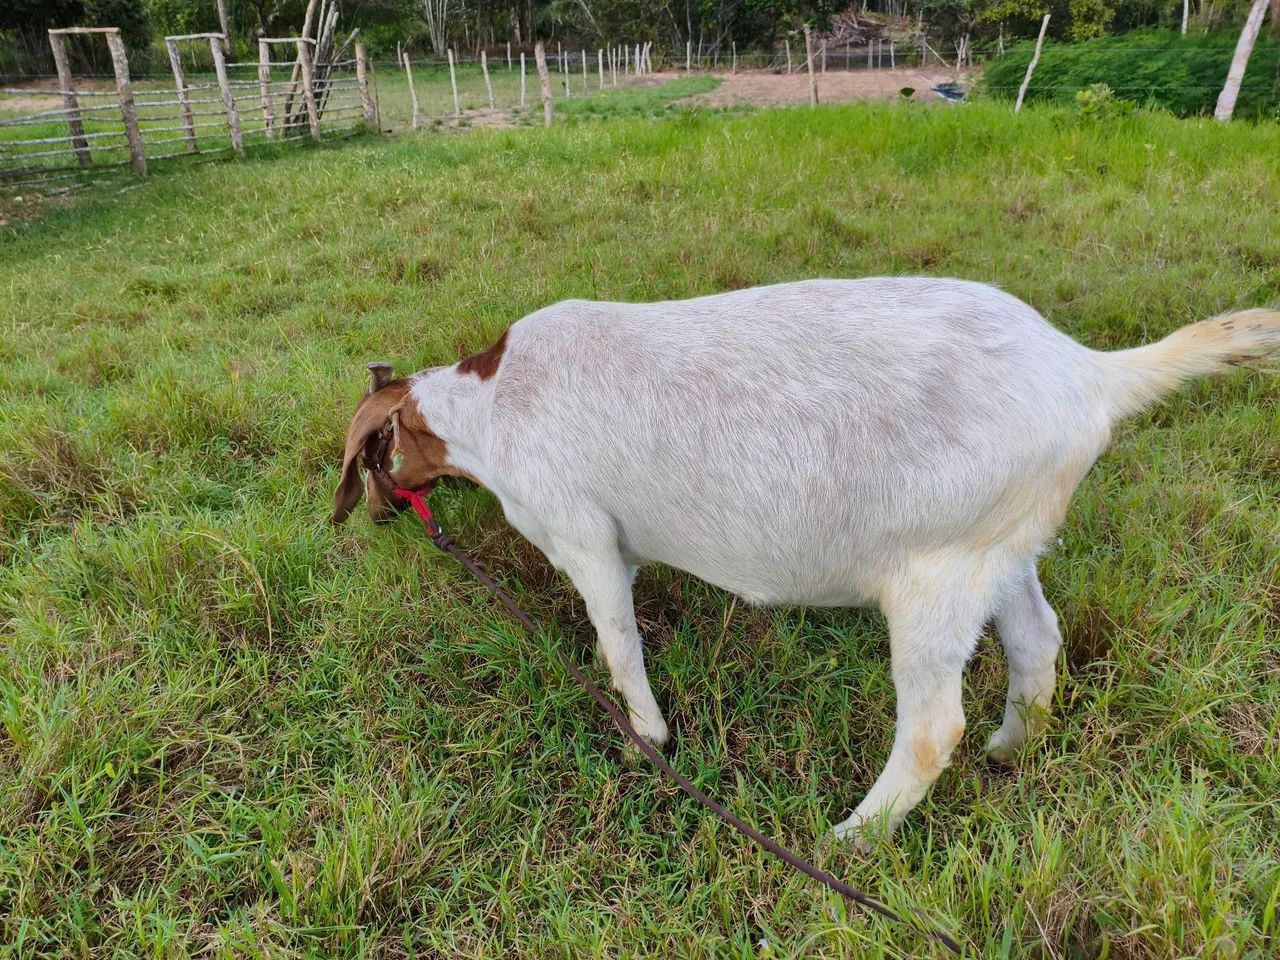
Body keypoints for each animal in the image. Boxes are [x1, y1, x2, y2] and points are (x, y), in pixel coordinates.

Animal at [332, 278, 1279, 839]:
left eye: (372, 455)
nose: (378, 517)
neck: (488, 407)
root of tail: (1090, 375)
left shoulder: (582, 533)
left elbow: (618, 640)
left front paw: (648, 740)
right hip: (1000, 544)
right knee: (1038, 642)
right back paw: (1012, 750)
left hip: (937, 568)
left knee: (933, 726)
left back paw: (853, 839)